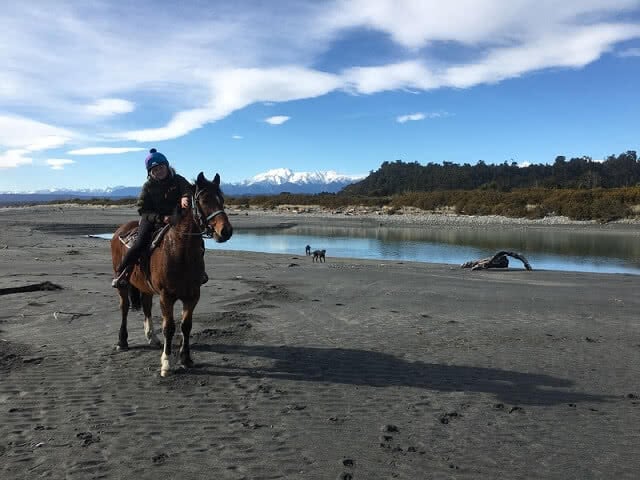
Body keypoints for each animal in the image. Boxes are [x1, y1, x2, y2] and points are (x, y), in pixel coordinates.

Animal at [110, 171, 232, 376]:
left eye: (221, 199)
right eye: (204, 200)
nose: (226, 231)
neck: (180, 252)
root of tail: (120, 230)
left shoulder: (193, 295)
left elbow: (186, 326)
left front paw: (186, 359)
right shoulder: (166, 296)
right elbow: (169, 328)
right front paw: (166, 364)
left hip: (146, 287)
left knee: (146, 306)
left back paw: (152, 338)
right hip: (123, 285)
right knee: (124, 308)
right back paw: (122, 341)